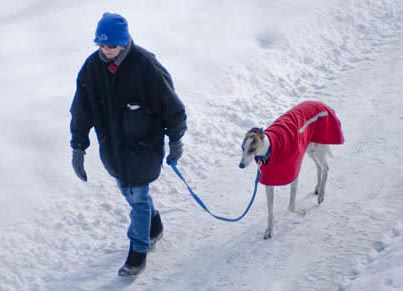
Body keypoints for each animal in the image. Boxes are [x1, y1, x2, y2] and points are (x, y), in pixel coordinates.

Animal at [238, 101, 346, 241]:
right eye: (242, 148)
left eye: (252, 149)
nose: (241, 165)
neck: (271, 149)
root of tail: (321, 103)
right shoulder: (269, 183)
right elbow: (270, 210)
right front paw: (269, 231)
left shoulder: (294, 175)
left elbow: (290, 206)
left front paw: (302, 212)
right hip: (309, 149)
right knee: (319, 166)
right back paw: (318, 188)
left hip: (320, 147)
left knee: (326, 168)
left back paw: (321, 195)